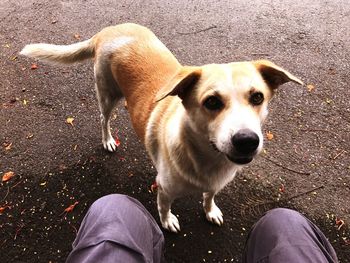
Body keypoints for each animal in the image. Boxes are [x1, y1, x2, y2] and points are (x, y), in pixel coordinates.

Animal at [20, 22, 302, 233]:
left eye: (257, 97)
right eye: (211, 102)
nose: (247, 140)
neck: (205, 157)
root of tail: (108, 31)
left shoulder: (214, 184)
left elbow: (209, 196)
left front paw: (210, 210)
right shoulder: (164, 189)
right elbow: (164, 208)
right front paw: (167, 222)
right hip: (107, 95)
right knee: (103, 119)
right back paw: (108, 139)